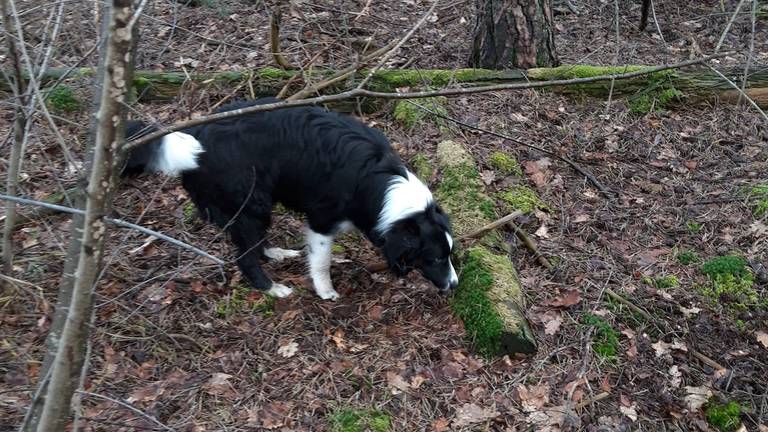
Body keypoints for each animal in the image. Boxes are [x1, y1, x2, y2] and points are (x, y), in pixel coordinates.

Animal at [124, 98, 460, 300]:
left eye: (449, 254)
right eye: (434, 259)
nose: (455, 284)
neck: (381, 185)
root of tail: (196, 142)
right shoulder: (321, 222)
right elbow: (321, 261)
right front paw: (325, 291)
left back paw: (276, 254)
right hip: (252, 203)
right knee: (244, 256)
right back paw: (272, 288)